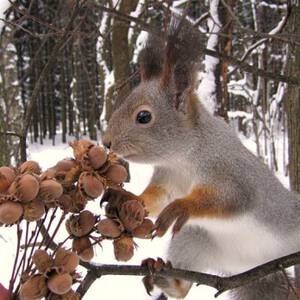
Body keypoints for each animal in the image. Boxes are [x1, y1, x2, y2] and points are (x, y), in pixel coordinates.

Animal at [102, 18, 300, 300]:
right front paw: (127, 198)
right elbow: (156, 198)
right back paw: (166, 278)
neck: (182, 159)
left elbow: (228, 198)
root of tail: (255, 267)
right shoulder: (168, 178)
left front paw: (182, 207)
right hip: (194, 238)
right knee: (182, 288)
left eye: (144, 117)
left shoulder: (230, 171)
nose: (106, 142)